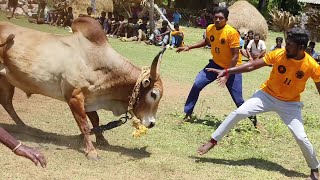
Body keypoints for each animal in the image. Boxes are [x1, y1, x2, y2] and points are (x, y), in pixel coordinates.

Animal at [0, 17, 165, 159]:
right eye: (154, 94)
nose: (152, 123)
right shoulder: (75, 97)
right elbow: (84, 125)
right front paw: (92, 151)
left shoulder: (89, 98)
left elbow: (96, 120)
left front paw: (101, 140)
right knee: (7, 103)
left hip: (6, 80)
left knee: (7, 103)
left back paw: (24, 127)